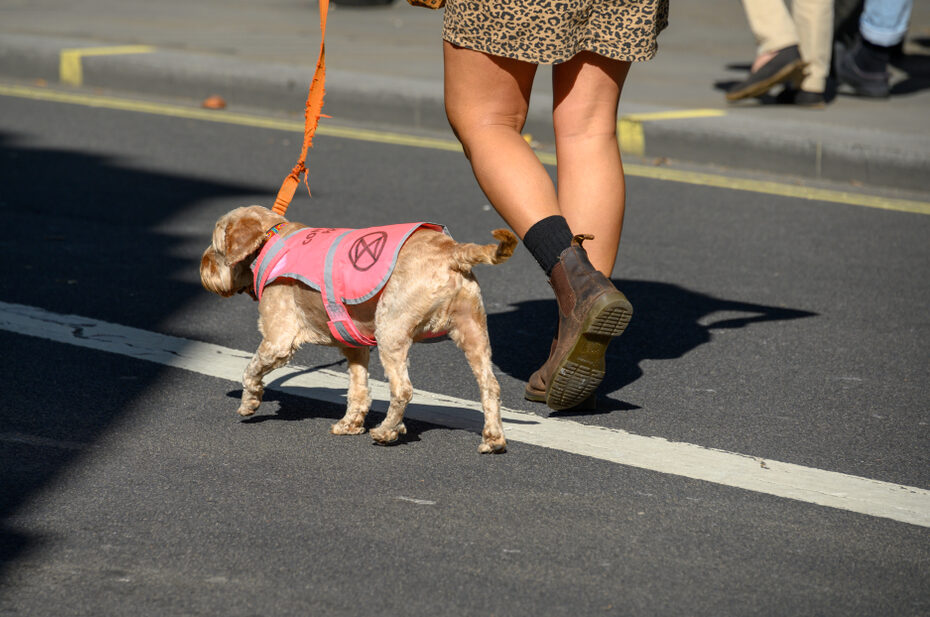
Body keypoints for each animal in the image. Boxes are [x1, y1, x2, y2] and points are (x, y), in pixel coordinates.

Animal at [199, 207, 516, 452]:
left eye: (216, 247)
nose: (202, 269)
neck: (271, 239)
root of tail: (452, 251)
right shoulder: (355, 346)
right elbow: (358, 388)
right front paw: (350, 423)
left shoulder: (278, 339)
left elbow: (250, 370)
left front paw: (250, 402)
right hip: (473, 331)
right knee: (490, 385)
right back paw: (493, 439)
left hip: (391, 330)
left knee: (403, 389)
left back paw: (387, 431)